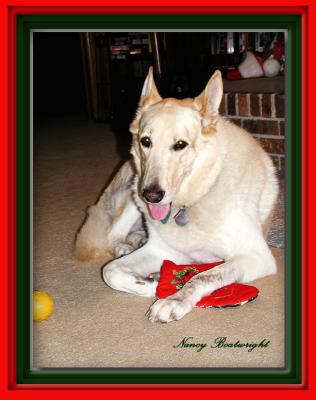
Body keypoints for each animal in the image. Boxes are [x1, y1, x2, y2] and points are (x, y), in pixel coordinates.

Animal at [74, 67, 278, 324]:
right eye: (146, 141)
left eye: (180, 144)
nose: (152, 196)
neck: (193, 199)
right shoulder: (163, 250)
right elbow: (111, 272)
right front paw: (153, 285)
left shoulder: (256, 256)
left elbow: (205, 276)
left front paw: (175, 299)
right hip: (134, 188)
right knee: (113, 235)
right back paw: (127, 245)